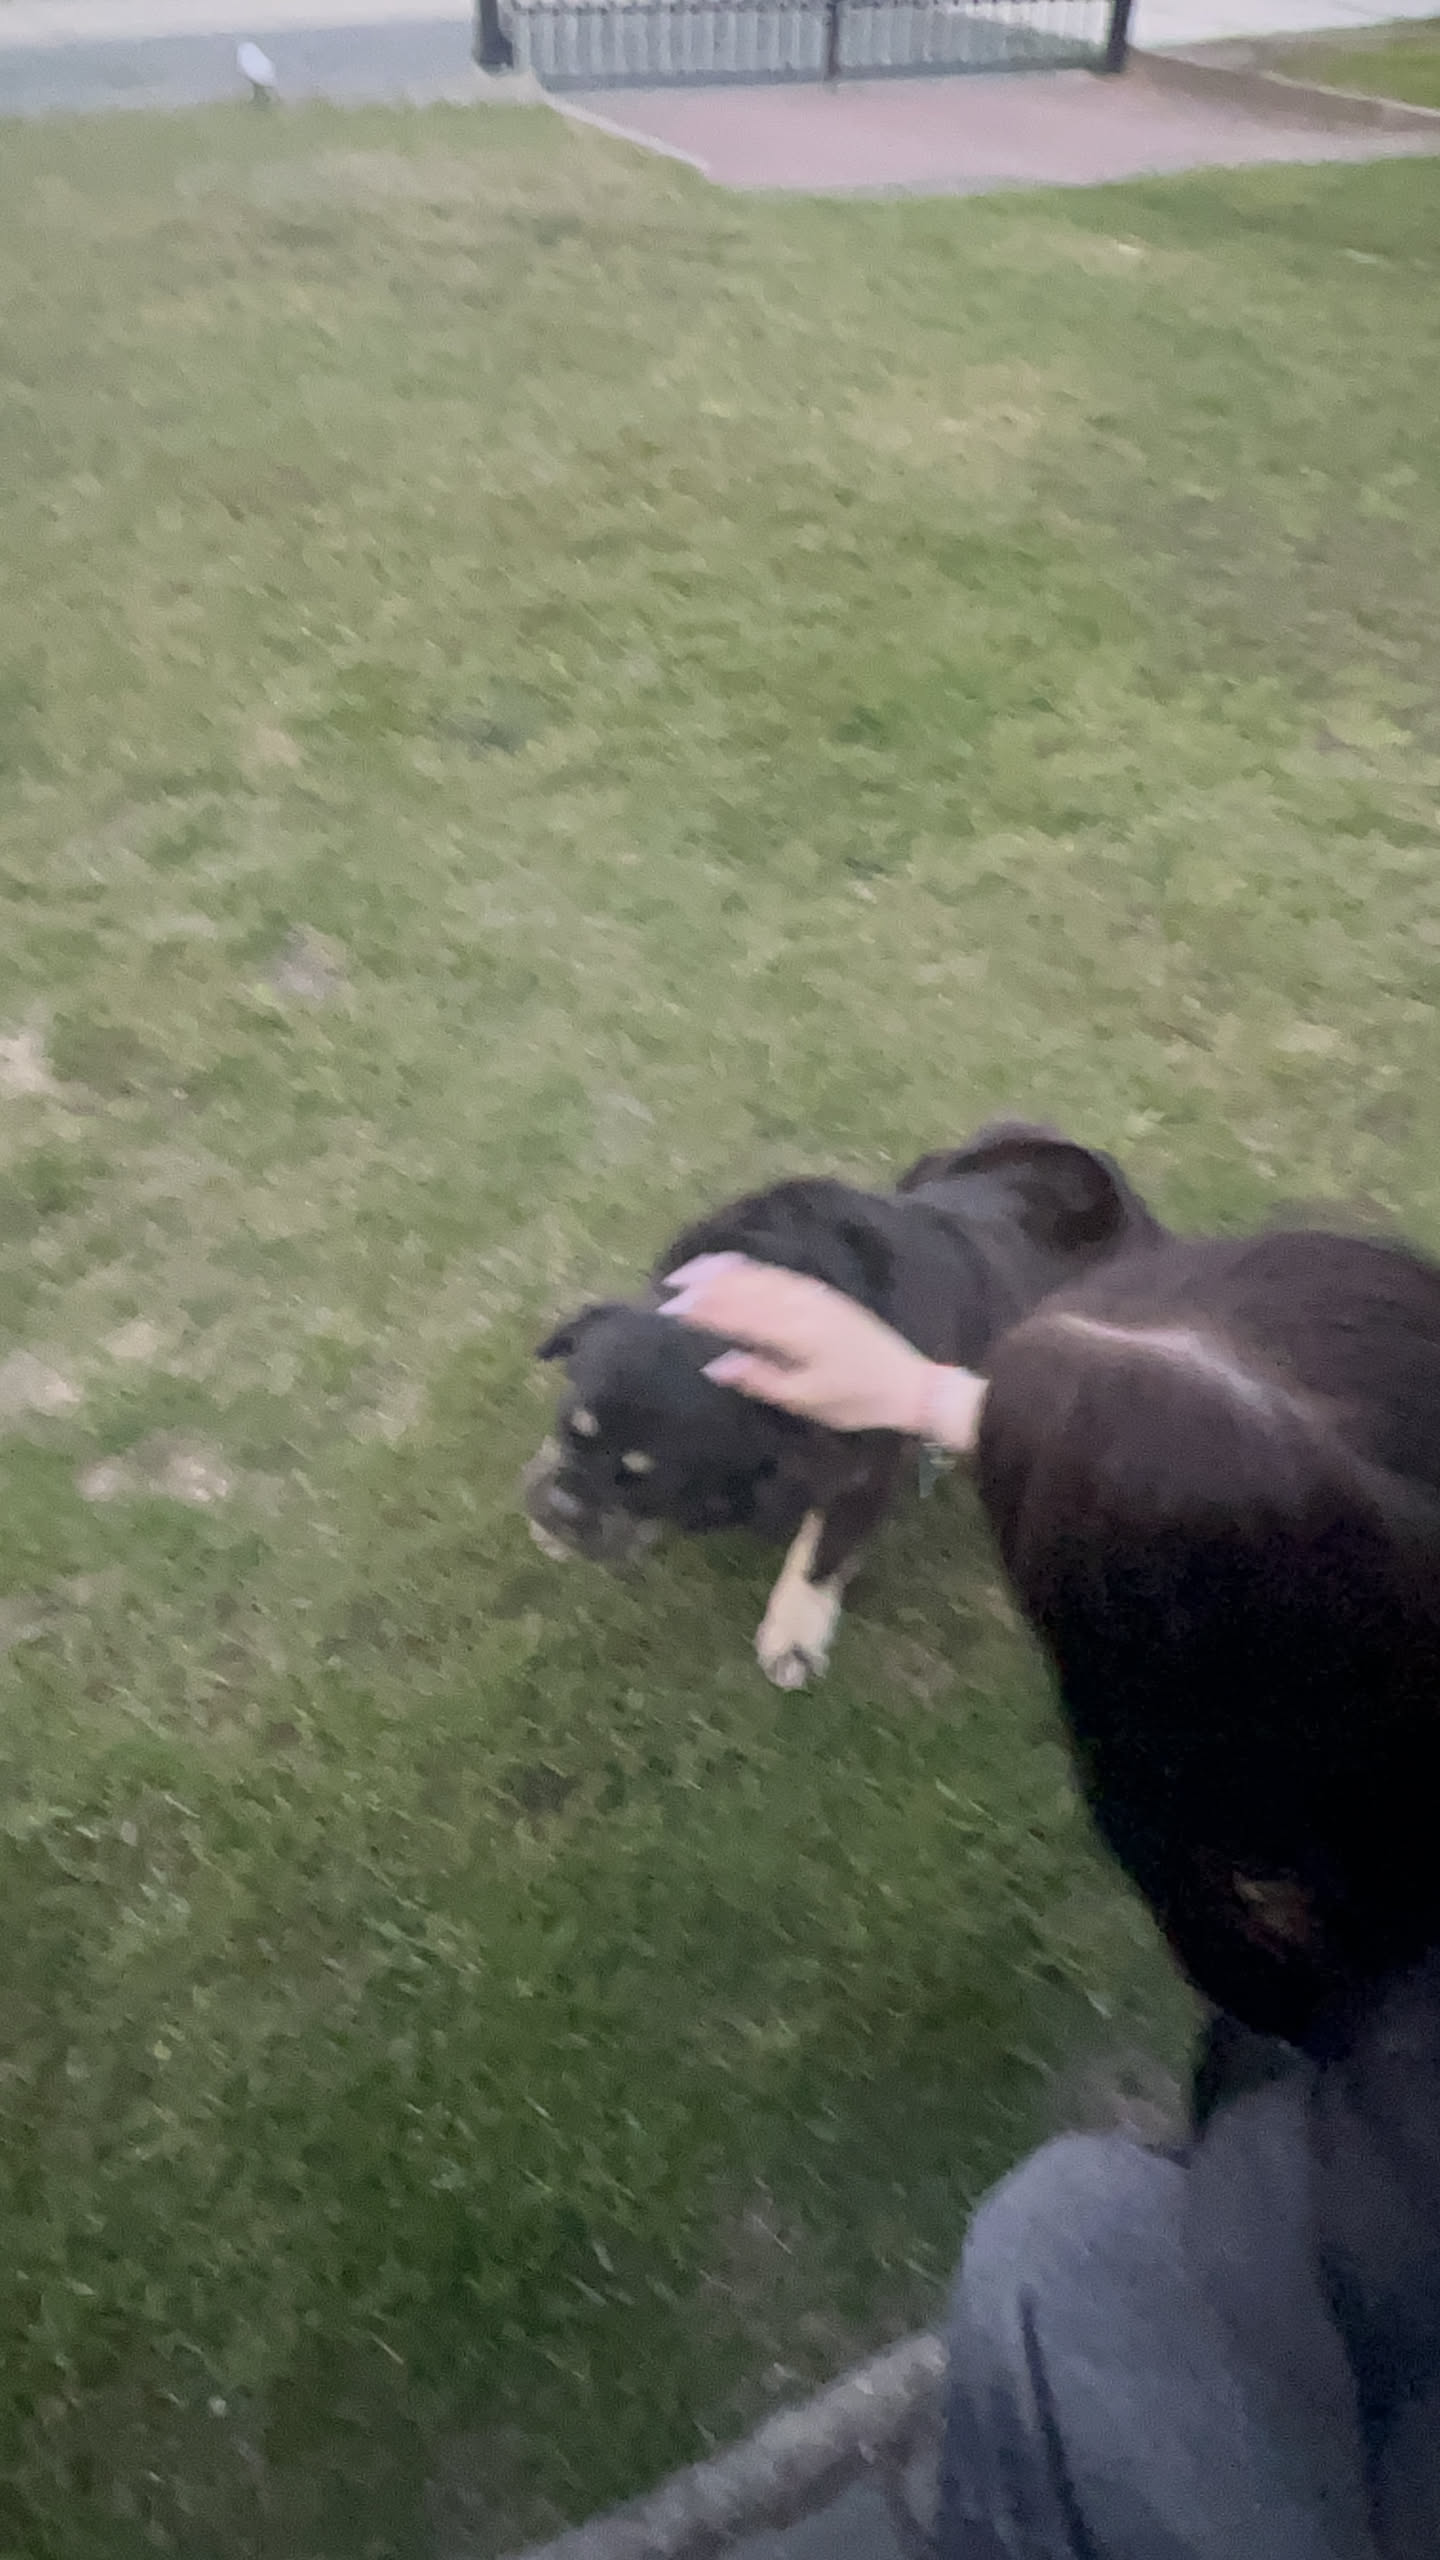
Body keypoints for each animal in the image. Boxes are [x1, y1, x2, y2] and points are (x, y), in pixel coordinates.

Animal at [523, 1122, 1163, 1688]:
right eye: (570, 1427)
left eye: (648, 1480)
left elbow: (819, 1554)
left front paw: (794, 1638)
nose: (561, 1506)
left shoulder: (865, 1466)